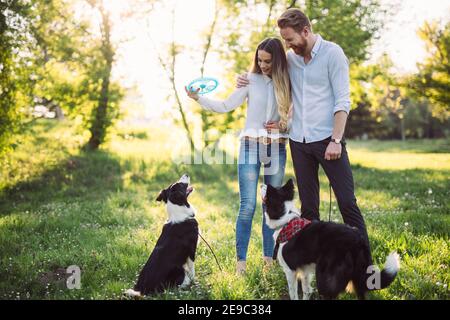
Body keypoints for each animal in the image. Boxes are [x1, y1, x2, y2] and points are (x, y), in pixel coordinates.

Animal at [260, 180, 400, 300]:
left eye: (268, 190)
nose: (262, 184)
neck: (285, 218)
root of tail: (358, 239)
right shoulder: (305, 270)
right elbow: (306, 290)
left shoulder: (290, 270)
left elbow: (293, 293)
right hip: (357, 277)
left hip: (325, 278)